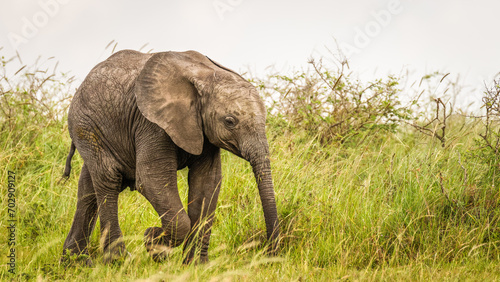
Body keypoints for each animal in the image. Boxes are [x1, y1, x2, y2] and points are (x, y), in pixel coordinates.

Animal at [60, 50, 280, 264]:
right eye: (230, 121)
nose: (270, 255)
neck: (207, 75)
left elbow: (207, 183)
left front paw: (196, 265)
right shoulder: (151, 123)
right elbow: (151, 180)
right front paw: (154, 243)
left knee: (89, 188)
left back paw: (76, 263)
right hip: (86, 126)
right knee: (109, 179)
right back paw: (118, 261)